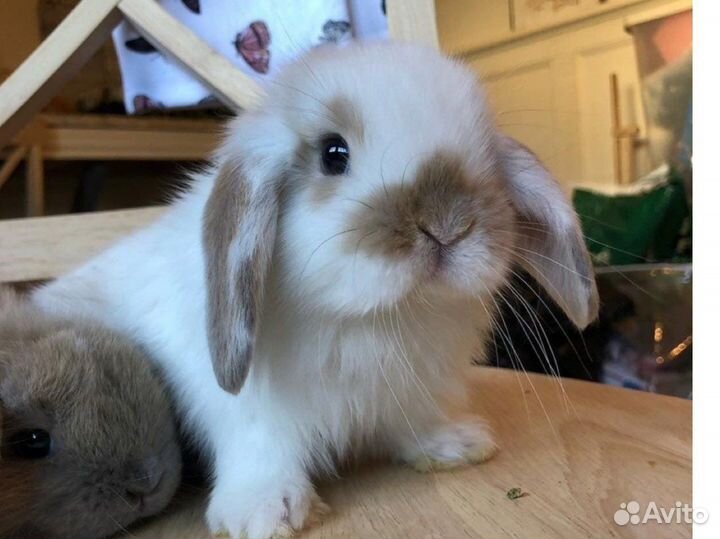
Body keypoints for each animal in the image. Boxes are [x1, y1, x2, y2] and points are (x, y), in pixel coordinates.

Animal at [33, 42, 599, 539]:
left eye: (485, 155)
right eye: (333, 153)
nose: (447, 225)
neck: (373, 317)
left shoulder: (412, 391)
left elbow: (415, 422)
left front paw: (454, 445)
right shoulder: (248, 412)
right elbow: (259, 448)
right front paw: (265, 513)